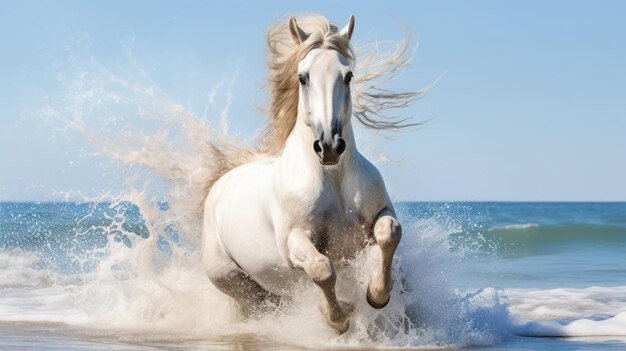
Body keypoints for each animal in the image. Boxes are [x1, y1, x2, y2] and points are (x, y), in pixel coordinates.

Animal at [201, 13, 410, 334]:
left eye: (348, 76)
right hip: (235, 282)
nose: (329, 146)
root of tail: (218, 185)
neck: (332, 177)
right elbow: (321, 269)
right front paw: (337, 318)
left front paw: (376, 295)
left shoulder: (381, 214)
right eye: (303, 77)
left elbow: (389, 233)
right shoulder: (294, 240)